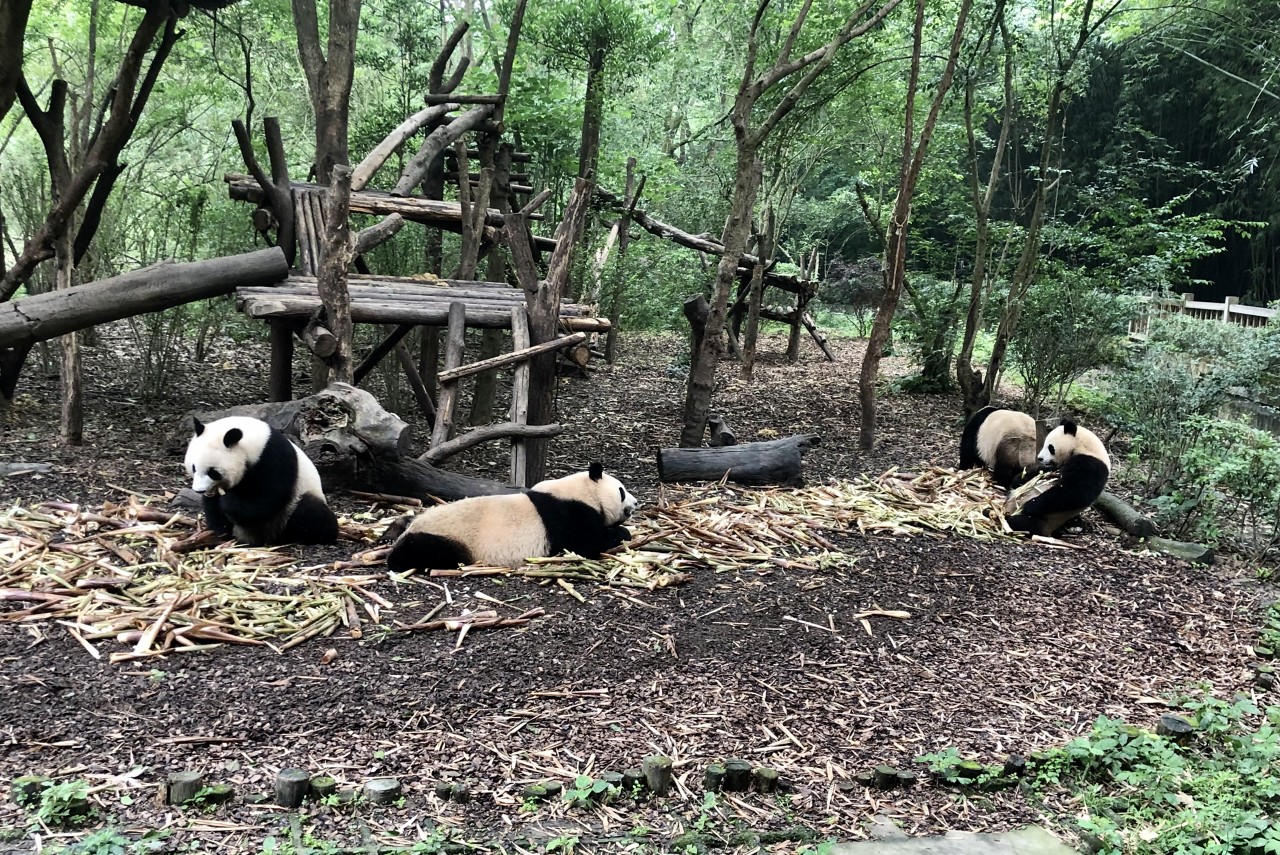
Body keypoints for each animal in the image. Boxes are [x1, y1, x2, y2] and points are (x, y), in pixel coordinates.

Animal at [184, 416, 339, 546]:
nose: (199, 490)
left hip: (295, 502)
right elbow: (212, 505)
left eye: (213, 472)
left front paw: (227, 502)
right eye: (194, 467)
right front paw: (220, 529)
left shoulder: (273, 456)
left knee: (311, 512)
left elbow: (268, 498)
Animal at [386, 462, 638, 571]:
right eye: (621, 491)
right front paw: (622, 532)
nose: (636, 503)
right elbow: (584, 543)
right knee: (424, 551)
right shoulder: (567, 514)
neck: (583, 491)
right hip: (445, 537)